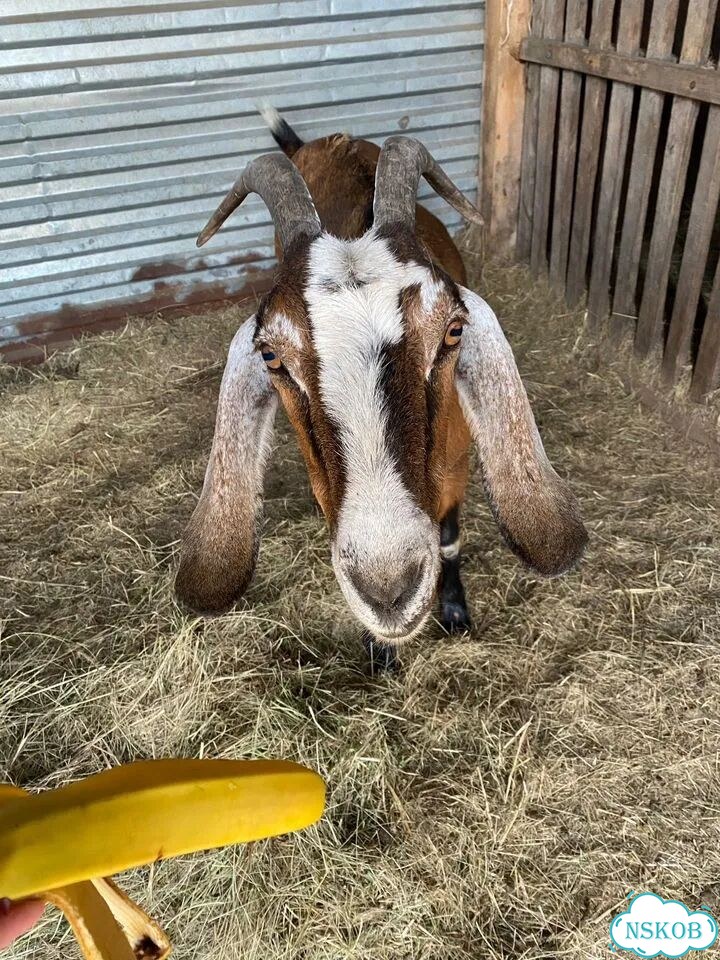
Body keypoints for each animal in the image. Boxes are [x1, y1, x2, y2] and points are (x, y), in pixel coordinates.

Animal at [175, 108, 587, 669]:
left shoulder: (456, 467)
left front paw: (454, 612)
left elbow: (449, 540)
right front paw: (380, 650)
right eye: (271, 356)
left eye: (453, 331)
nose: (387, 587)